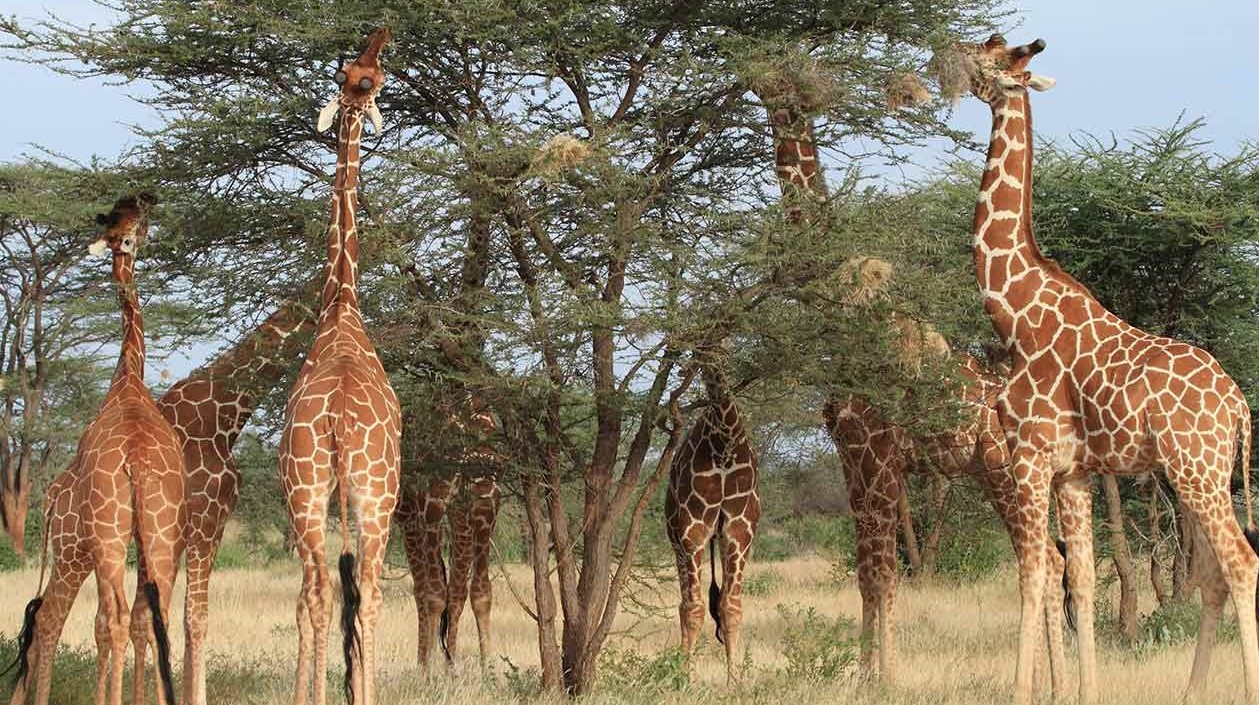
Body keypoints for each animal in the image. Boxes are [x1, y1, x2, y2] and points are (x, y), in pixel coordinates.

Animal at [6, 194, 184, 705]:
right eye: (131, 226)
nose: (148, 216)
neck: (126, 379)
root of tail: (136, 462)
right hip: (150, 534)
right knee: (134, 616)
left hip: (96, 542)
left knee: (75, 618)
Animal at [130, 295, 315, 705]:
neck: (228, 407)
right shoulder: (208, 515)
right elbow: (195, 617)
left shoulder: (209, 519)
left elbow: (186, 618)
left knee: (137, 617)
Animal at [665, 354, 760, 684]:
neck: (724, 443)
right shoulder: (692, 530)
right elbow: (693, 609)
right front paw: (684, 680)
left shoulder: (739, 531)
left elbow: (730, 607)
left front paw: (734, 683)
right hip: (676, 537)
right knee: (685, 604)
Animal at [757, 75, 1068, 690]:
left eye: (788, 87)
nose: (757, 82)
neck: (848, 319)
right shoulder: (852, 459)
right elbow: (864, 572)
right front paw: (861, 675)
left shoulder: (877, 455)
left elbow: (884, 573)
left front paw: (887, 679)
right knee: (1053, 557)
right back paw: (1054, 683)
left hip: (1003, 471)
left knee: (1043, 558)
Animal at [945, 34, 1258, 704]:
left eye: (990, 55)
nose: (950, 56)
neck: (1013, 311)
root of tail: (1239, 405)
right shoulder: (1075, 473)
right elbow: (1083, 580)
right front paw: (1085, 692)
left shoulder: (1030, 457)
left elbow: (1033, 574)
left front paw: (1022, 692)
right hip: (1202, 474)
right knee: (1214, 575)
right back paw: (1191, 693)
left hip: (1195, 471)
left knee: (1241, 564)